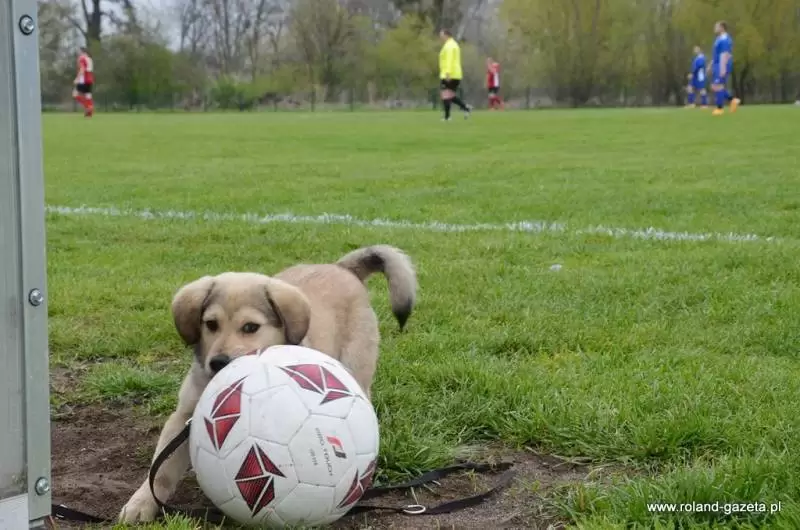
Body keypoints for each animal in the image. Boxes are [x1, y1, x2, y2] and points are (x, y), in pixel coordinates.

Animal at [119, 245, 416, 522]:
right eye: (210, 324)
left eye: (250, 327)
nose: (218, 362)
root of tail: (342, 267)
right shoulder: (184, 418)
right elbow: (161, 469)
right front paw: (141, 503)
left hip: (357, 368)